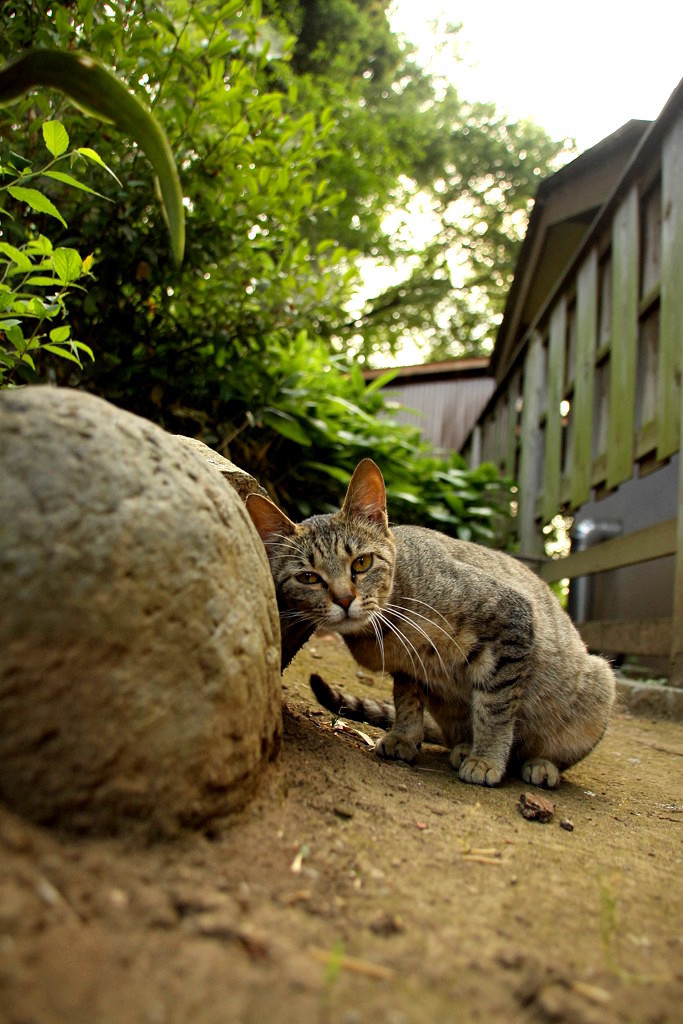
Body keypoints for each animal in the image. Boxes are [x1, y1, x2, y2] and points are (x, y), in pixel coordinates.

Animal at [246, 460, 618, 786]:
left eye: (362, 563)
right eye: (308, 577)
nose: (344, 599)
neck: (390, 625)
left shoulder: (511, 618)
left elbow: (495, 709)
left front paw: (487, 758)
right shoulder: (409, 669)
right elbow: (407, 702)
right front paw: (403, 737)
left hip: (599, 686)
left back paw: (539, 764)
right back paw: (463, 747)